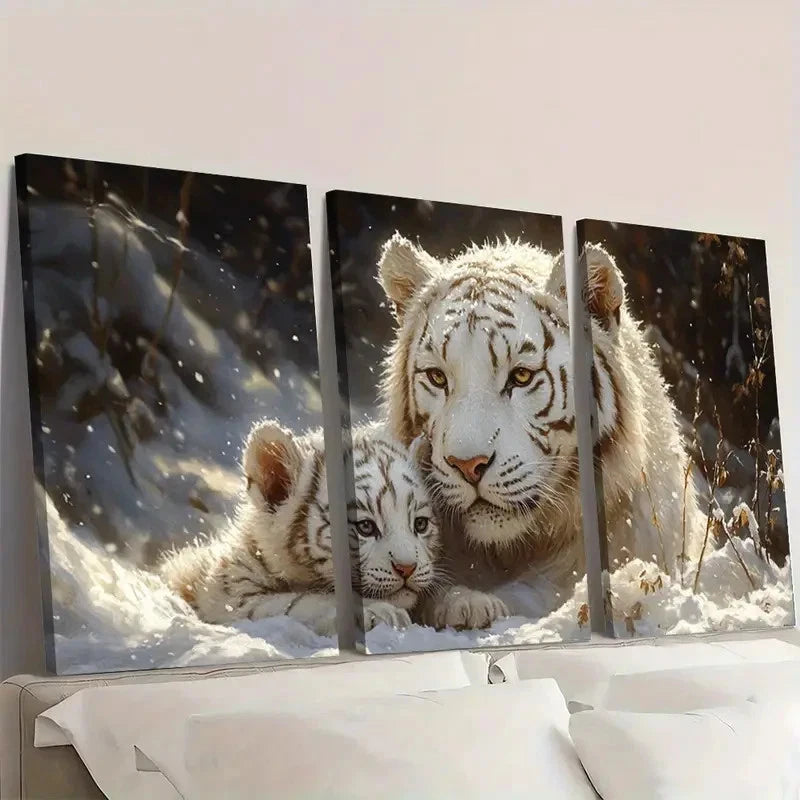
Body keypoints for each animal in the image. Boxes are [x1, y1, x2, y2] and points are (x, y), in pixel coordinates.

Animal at [159, 419, 442, 637]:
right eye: (365, 527)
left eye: (420, 524)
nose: (407, 568)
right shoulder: (229, 596)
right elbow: (296, 602)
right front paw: (379, 612)